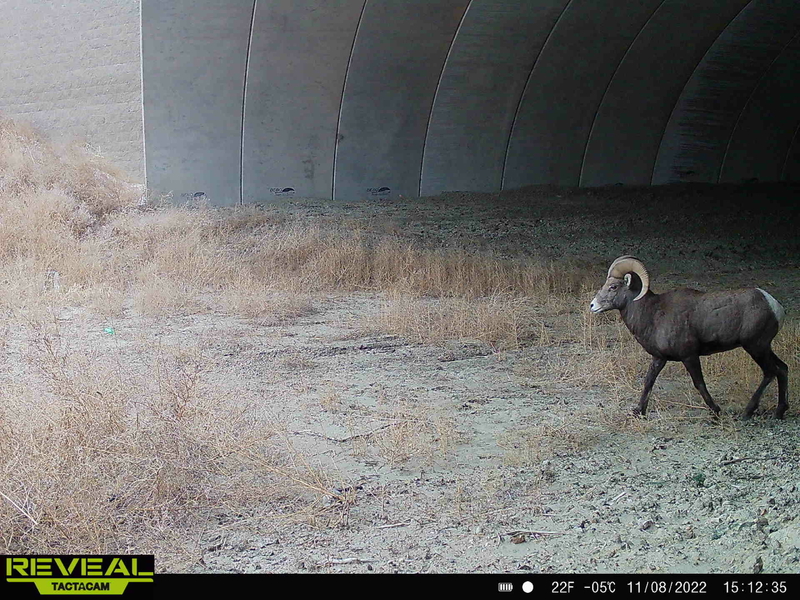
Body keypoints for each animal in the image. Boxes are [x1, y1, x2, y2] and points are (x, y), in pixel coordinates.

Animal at [589, 256, 788, 419]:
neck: (653, 313)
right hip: (763, 348)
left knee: (770, 372)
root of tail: (774, 306)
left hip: (755, 347)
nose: (593, 305)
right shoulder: (659, 358)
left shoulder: (689, 357)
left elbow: (699, 384)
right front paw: (638, 411)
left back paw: (748, 412)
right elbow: (648, 382)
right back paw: (779, 412)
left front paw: (716, 411)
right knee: (782, 369)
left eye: (613, 287)